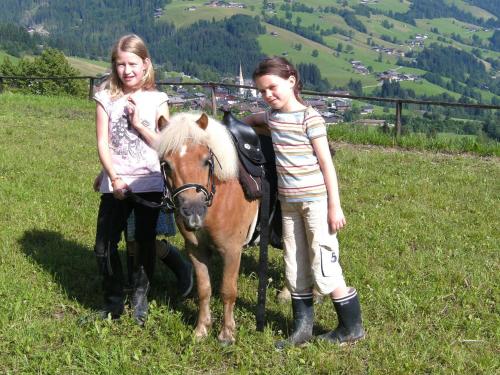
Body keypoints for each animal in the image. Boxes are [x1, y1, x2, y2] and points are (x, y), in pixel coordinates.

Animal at [157, 112, 260, 346]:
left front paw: (226, 334)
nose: (193, 211)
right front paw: (202, 329)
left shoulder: (232, 251)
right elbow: (204, 289)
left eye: (206, 160)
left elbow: (228, 291)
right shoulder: (196, 250)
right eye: (166, 164)